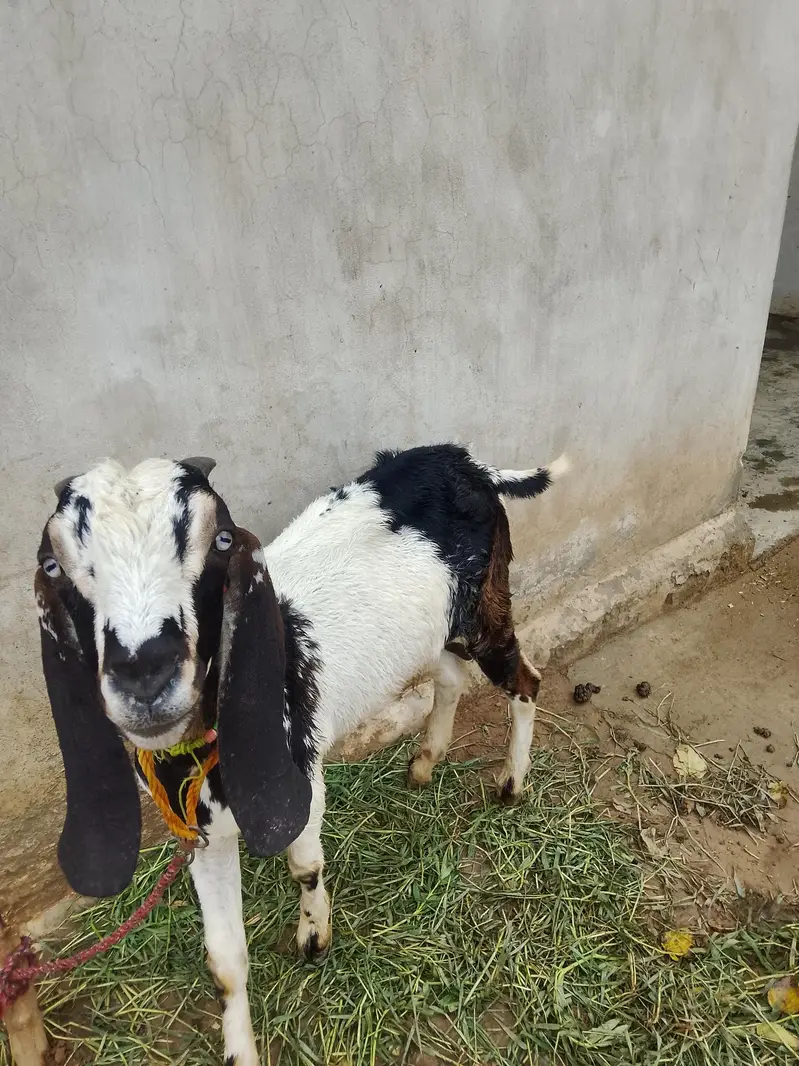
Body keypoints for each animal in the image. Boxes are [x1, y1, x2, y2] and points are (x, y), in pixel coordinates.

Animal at [35, 444, 568, 1065]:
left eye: (221, 540)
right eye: (56, 565)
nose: (145, 675)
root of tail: (467, 462)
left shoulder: (304, 781)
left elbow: (305, 866)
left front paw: (314, 937)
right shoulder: (203, 834)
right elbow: (223, 959)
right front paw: (240, 1049)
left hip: (486, 604)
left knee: (525, 680)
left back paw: (511, 781)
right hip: (436, 626)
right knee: (451, 677)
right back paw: (425, 761)